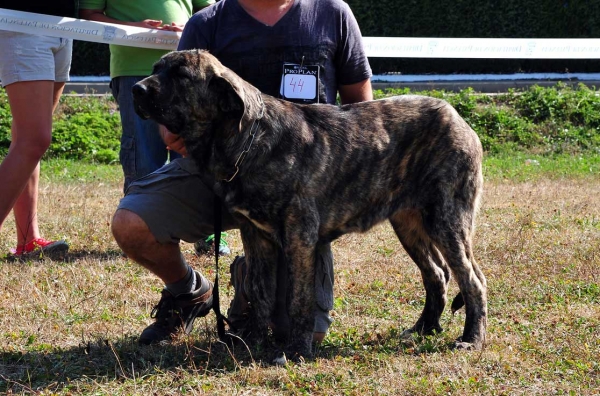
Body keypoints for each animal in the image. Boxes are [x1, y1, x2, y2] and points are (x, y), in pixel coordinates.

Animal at [131, 49, 488, 362]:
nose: (136, 89)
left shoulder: (300, 240)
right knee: (437, 275)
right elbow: (261, 293)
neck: (248, 141)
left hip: (447, 222)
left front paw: (297, 349)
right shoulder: (257, 237)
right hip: (409, 224)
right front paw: (253, 339)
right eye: (157, 68)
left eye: (181, 76)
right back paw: (423, 329)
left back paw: (471, 339)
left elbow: (299, 301)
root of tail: (457, 117)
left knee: (473, 280)